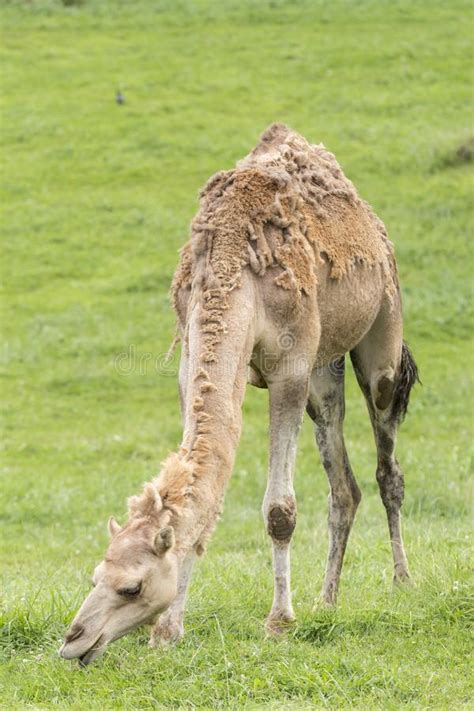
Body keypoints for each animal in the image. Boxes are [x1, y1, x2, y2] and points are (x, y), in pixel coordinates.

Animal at [60, 124, 418, 665]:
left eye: (132, 587)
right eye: (96, 575)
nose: (74, 640)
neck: (237, 273)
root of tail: (369, 221)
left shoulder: (289, 368)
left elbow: (279, 511)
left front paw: (279, 623)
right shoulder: (193, 365)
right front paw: (168, 632)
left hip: (382, 330)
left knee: (387, 460)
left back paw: (402, 581)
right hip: (324, 371)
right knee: (342, 483)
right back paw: (327, 600)